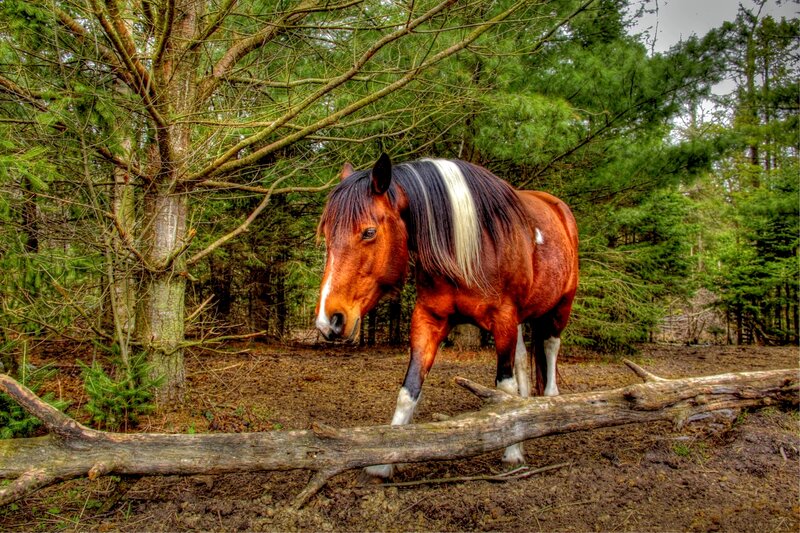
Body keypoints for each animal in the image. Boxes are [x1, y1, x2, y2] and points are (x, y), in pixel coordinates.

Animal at [315, 153, 579, 478]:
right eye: (326, 234)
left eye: (369, 232)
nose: (329, 320)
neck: (468, 248)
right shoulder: (428, 319)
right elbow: (408, 390)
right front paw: (385, 460)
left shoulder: (503, 319)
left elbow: (503, 388)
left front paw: (512, 451)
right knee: (521, 361)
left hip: (560, 307)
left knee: (551, 350)